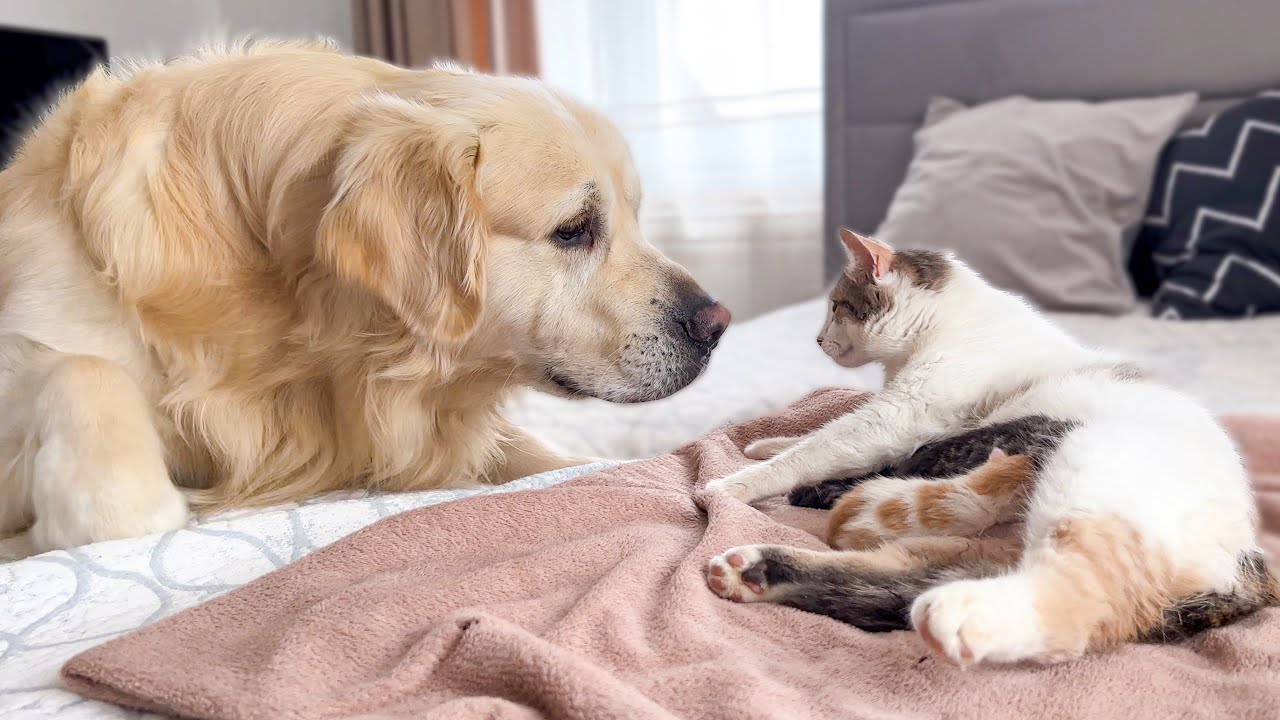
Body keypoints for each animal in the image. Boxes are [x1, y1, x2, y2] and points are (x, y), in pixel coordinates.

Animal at [0, 39, 732, 550]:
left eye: (635, 216)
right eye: (574, 229)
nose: (718, 323)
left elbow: (550, 458)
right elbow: (83, 371)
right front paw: (99, 512)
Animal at [706, 228, 1274, 661]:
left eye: (836, 307)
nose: (818, 340)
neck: (944, 324)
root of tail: (1247, 558)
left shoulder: (899, 416)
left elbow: (821, 445)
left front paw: (736, 481)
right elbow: (813, 434)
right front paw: (766, 443)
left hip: (1089, 476)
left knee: (1071, 606)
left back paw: (953, 612)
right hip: (950, 550)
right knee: (891, 578)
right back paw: (757, 570)